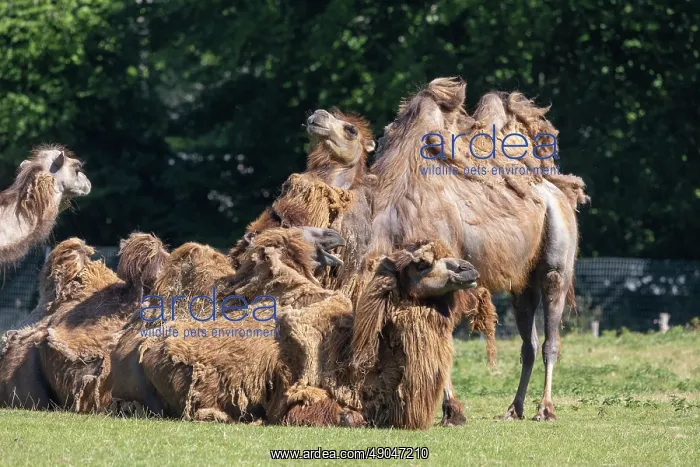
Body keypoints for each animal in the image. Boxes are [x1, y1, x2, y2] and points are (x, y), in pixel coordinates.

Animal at [369, 77, 587, 421]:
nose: (467, 272)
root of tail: (557, 190)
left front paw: (452, 411)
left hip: (558, 253)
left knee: (551, 333)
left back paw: (545, 409)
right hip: (521, 280)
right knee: (529, 340)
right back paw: (514, 408)